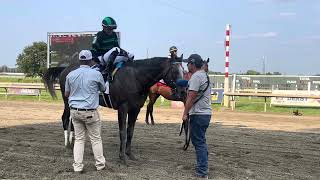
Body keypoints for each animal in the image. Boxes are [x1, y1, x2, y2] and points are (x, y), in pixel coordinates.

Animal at [43, 56, 184, 165]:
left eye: (184, 70)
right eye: (175, 71)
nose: (183, 91)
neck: (135, 77)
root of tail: (65, 69)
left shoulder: (135, 109)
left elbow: (130, 131)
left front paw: (129, 154)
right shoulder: (123, 108)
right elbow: (122, 132)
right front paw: (122, 157)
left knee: (72, 122)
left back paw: (72, 143)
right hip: (67, 101)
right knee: (65, 119)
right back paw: (67, 145)